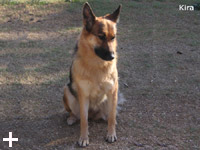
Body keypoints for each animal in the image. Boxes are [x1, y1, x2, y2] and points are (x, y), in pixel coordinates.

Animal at [62, 2, 122, 147]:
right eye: (101, 36)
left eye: (113, 37)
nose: (112, 57)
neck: (97, 65)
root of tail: (94, 115)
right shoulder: (83, 95)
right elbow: (84, 121)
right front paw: (84, 138)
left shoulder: (113, 91)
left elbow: (112, 117)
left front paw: (111, 134)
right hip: (67, 91)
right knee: (76, 114)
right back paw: (72, 118)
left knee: (109, 115)